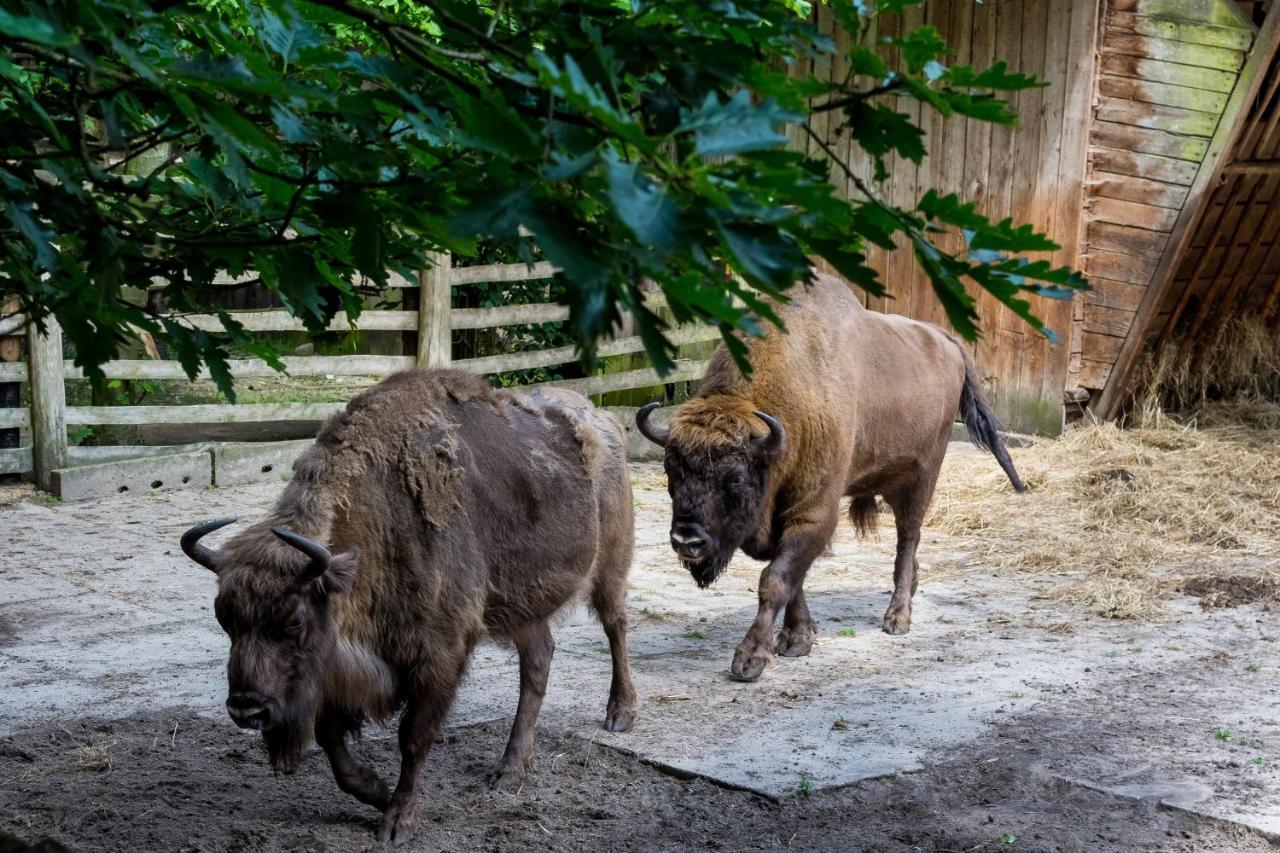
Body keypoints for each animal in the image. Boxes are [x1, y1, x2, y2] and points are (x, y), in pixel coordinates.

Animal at [180, 368, 640, 840]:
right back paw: (510, 771)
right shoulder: (340, 672)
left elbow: (413, 737)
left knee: (615, 625)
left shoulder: (438, 655)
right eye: (224, 619)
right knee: (538, 662)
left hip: (610, 563)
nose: (245, 708)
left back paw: (620, 714)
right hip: (523, 606)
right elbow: (331, 738)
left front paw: (398, 820)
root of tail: (601, 416)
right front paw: (376, 791)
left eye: (294, 622)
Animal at [634, 268, 1024, 681]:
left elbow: (775, 579)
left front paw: (750, 659)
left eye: (735, 477)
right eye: (670, 469)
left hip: (923, 478)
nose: (686, 540)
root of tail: (945, 341)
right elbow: (794, 578)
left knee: (908, 539)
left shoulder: (813, 511)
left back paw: (897, 618)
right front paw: (799, 638)